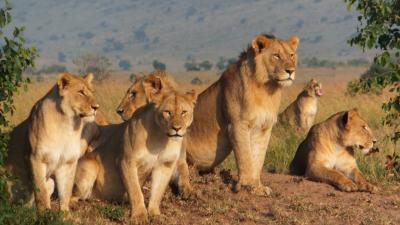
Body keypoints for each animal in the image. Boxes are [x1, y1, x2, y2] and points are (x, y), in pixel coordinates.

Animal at [6, 72, 99, 211]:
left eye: (92, 92)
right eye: (81, 92)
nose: (96, 107)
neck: (67, 124)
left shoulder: (67, 162)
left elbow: (65, 192)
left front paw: (65, 214)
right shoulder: (36, 158)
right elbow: (41, 192)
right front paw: (45, 214)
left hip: (50, 182)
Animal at [119, 88, 198, 223]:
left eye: (183, 112)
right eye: (168, 112)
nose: (177, 128)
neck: (162, 137)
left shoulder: (166, 164)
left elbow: (158, 191)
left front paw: (155, 214)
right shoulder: (128, 161)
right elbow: (135, 191)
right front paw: (139, 216)